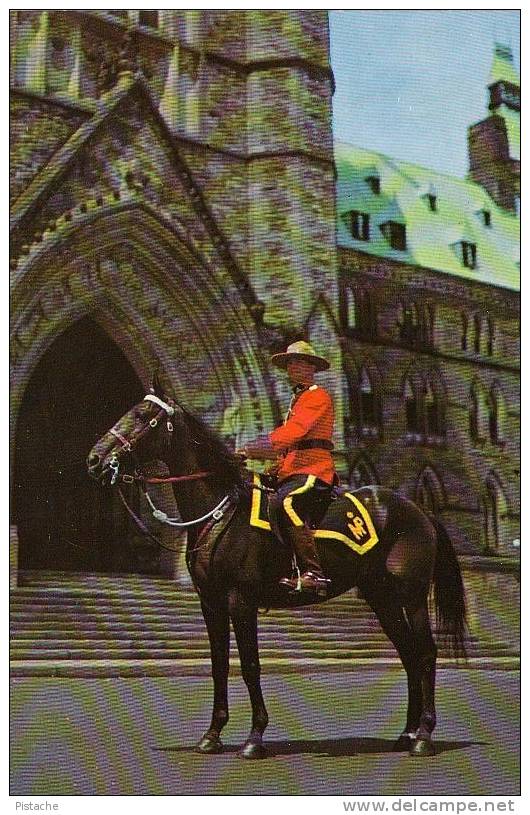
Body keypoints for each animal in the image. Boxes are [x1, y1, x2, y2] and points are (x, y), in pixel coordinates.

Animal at [88, 380, 464, 760]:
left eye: (142, 415)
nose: (95, 459)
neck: (221, 512)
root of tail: (419, 510)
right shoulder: (210, 602)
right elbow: (219, 665)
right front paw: (212, 735)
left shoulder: (241, 600)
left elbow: (250, 666)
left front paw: (254, 737)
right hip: (382, 598)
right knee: (409, 655)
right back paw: (406, 733)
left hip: (412, 596)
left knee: (426, 654)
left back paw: (424, 736)